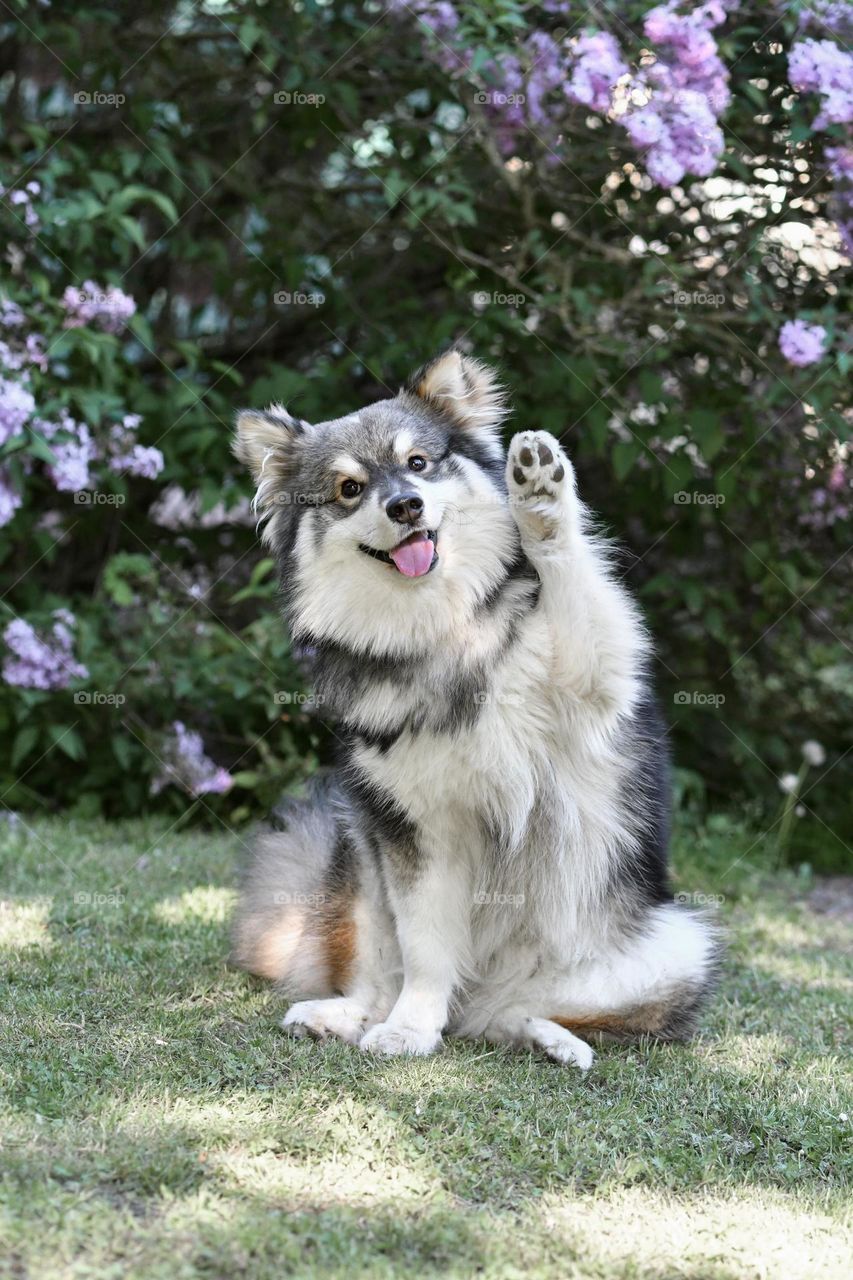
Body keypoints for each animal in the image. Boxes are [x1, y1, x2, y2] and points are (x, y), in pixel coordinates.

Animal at [227, 350, 717, 1070]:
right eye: (348, 489)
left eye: (419, 462)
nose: (405, 505)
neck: (445, 630)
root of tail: (483, 996)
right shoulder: (416, 832)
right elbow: (426, 953)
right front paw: (408, 1028)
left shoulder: (592, 681)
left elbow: (573, 581)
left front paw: (540, 495)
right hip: (360, 860)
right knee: (386, 982)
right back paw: (344, 1015)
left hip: (675, 948)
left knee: (533, 1015)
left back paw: (550, 1039)